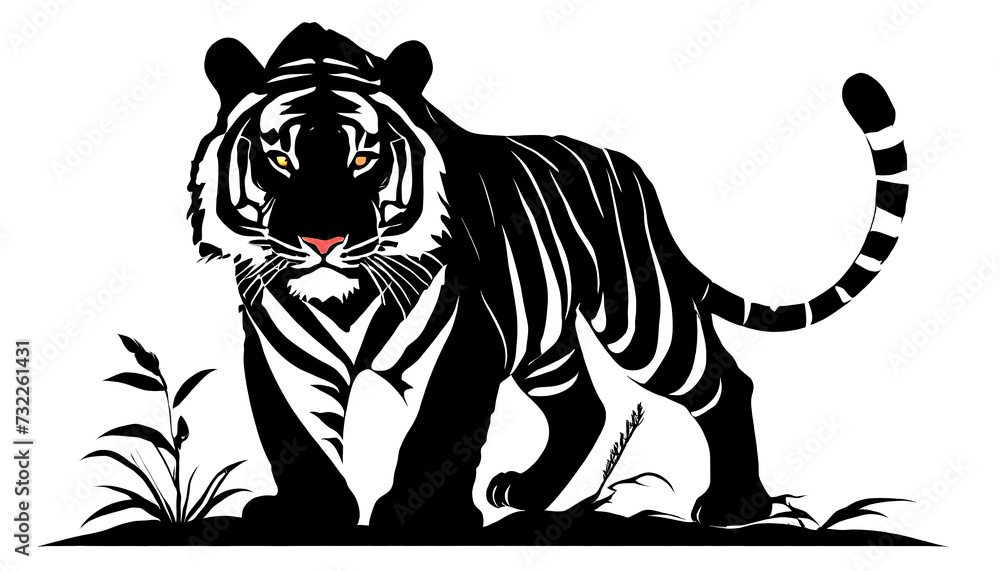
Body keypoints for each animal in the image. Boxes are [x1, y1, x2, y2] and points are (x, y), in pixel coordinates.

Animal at [187, 23, 908, 534]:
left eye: (364, 157)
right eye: (281, 157)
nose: (323, 240)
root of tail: (631, 171)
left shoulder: (464, 337)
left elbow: (437, 431)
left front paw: (419, 518)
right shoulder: (277, 345)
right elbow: (293, 433)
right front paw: (311, 515)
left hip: (642, 317)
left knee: (723, 382)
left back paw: (736, 507)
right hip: (543, 339)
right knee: (582, 404)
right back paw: (530, 493)